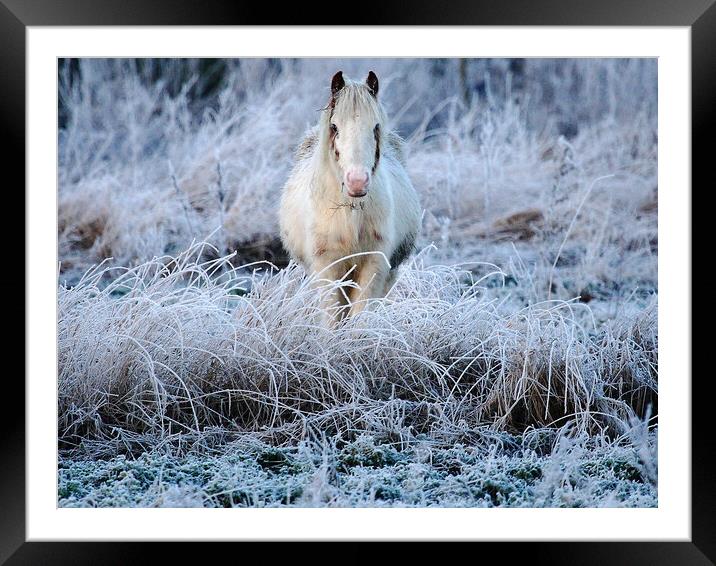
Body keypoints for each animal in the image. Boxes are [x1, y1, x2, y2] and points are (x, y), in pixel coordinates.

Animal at [278, 71, 420, 322]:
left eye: (375, 126)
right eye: (335, 126)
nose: (357, 181)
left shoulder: (374, 265)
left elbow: (359, 318)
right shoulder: (328, 266)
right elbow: (332, 318)